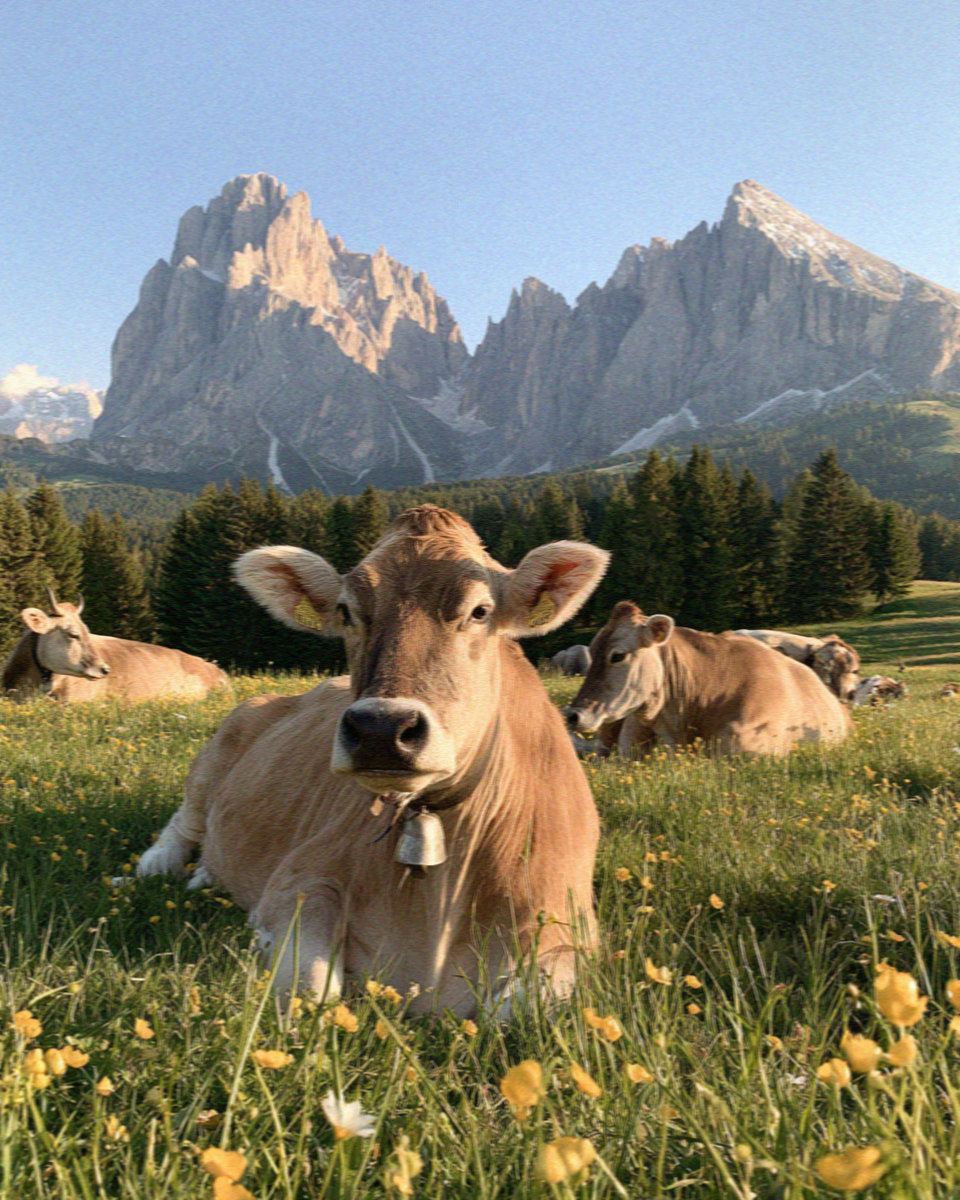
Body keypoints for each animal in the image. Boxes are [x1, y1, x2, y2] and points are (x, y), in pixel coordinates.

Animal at [134, 505, 609, 1016]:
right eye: (346, 610)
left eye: (480, 611)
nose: (381, 728)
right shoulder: (300, 878)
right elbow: (309, 991)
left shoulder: (569, 924)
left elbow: (516, 1013)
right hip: (220, 748)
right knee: (184, 823)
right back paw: (159, 867)